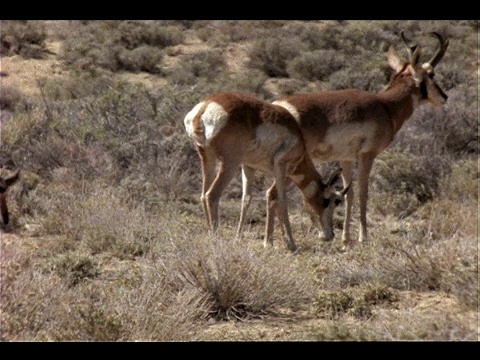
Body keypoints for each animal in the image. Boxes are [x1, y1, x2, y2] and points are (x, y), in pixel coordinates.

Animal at [185, 91, 348, 252]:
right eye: (329, 201)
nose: (330, 235)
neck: (296, 137)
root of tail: (206, 106)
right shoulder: (280, 169)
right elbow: (281, 201)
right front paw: (292, 244)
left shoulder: (248, 167)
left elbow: (246, 199)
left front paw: (240, 238)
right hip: (229, 164)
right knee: (211, 195)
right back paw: (216, 238)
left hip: (208, 159)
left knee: (202, 195)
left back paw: (209, 234)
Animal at [268, 32, 452, 249]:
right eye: (431, 74)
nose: (444, 97)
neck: (385, 106)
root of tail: (278, 107)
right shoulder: (367, 156)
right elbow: (364, 192)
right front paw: (364, 237)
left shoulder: (345, 159)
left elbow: (349, 194)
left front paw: (346, 239)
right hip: (292, 165)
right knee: (274, 194)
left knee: (271, 194)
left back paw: (271, 242)